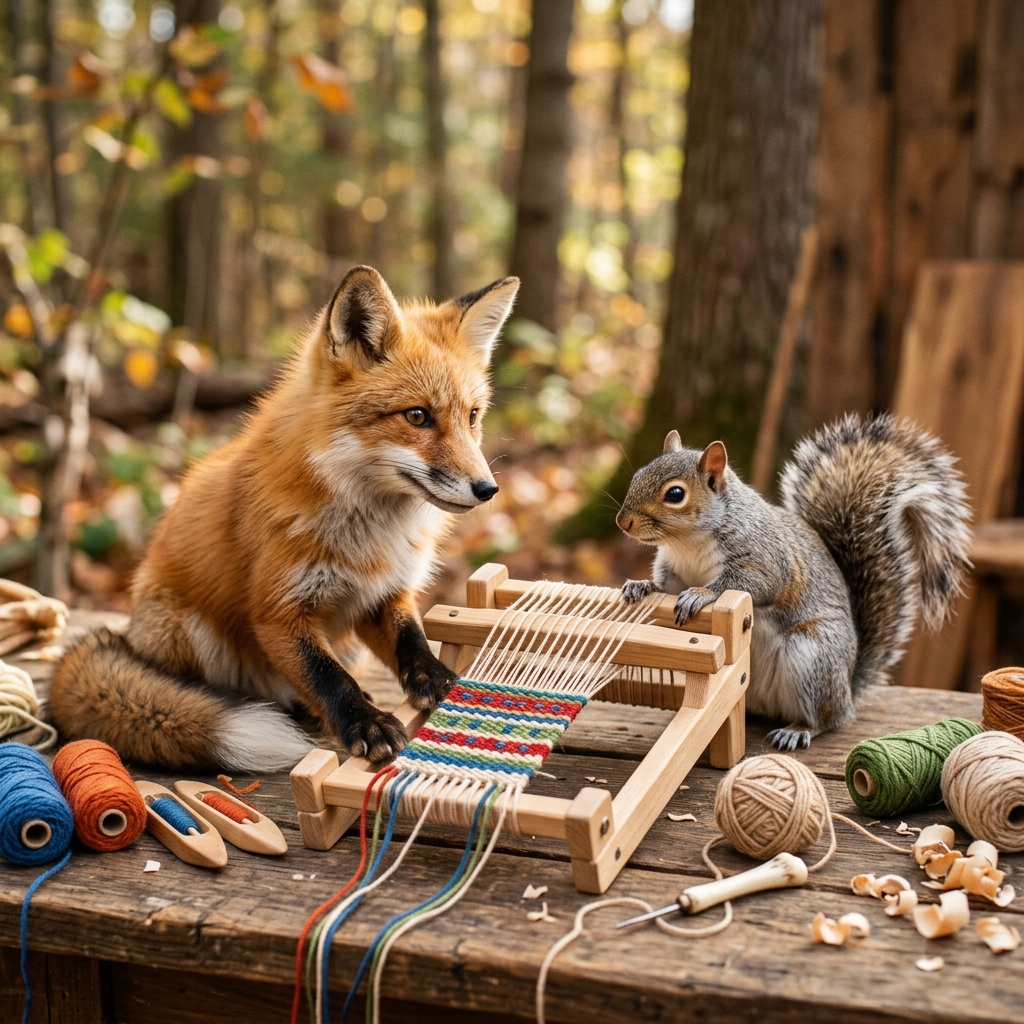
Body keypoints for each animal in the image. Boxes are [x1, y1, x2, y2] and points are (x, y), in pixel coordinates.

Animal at [50, 266, 519, 771]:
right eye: (417, 416)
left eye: (473, 417)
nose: (487, 489)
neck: (371, 533)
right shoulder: (278, 610)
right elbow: (327, 676)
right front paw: (365, 723)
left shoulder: (384, 594)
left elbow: (411, 641)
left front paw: (441, 682)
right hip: (187, 628)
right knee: (202, 688)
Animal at [616, 413, 972, 750]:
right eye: (636, 477)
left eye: (675, 494)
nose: (623, 522)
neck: (686, 544)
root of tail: (847, 690)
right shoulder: (673, 568)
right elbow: (666, 588)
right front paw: (641, 586)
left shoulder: (768, 562)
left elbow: (749, 584)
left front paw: (701, 594)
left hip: (812, 657)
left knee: (827, 719)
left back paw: (799, 730)